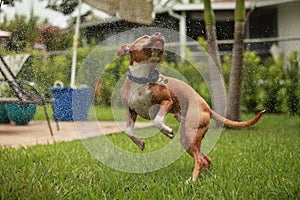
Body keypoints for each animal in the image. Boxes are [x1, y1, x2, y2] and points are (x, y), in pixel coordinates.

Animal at [118, 32, 264, 181]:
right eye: (145, 36)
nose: (159, 33)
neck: (142, 78)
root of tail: (207, 107)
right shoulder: (130, 109)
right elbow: (128, 130)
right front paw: (140, 142)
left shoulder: (167, 101)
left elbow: (157, 121)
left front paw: (167, 130)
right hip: (187, 138)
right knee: (205, 159)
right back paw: (202, 177)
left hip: (189, 132)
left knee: (199, 159)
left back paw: (192, 180)